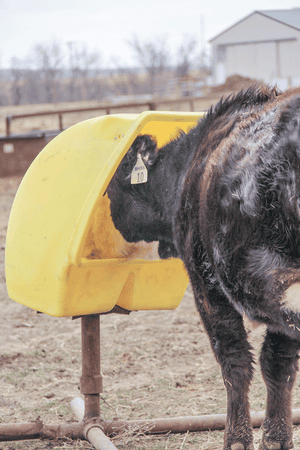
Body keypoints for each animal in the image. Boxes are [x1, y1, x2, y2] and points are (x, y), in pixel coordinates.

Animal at [107, 85, 300, 450]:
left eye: (112, 190)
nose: (113, 219)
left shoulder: (207, 283)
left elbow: (235, 361)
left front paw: (237, 438)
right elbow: (277, 363)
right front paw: (277, 437)